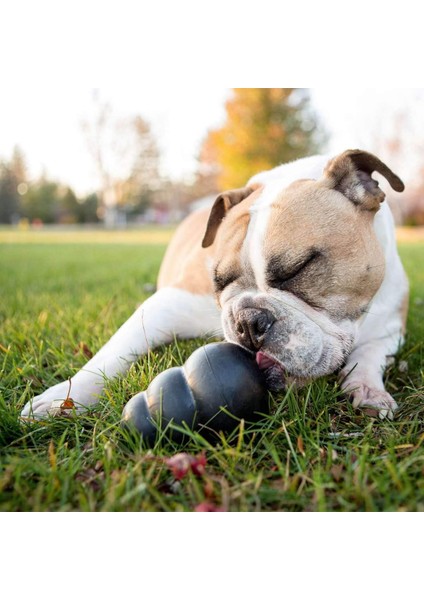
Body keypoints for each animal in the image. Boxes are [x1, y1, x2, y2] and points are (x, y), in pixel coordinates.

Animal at [21, 149, 410, 422]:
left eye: (298, 269)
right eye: (218, 281)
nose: (248, 320)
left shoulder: (390, 326)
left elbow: (369, 354)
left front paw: (368, 389)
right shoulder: (167, 304)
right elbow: (112, 350)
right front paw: (62, 398)